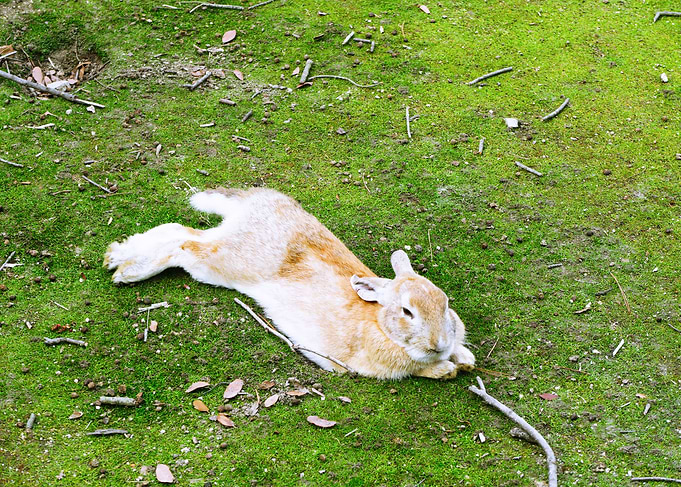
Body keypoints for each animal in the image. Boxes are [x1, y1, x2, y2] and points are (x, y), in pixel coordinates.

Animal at [104, 187, 475, 379]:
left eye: (445, 304)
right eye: (407, 312)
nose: (439, 343)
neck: (380, 323)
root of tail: (253, 204)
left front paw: (464, 358)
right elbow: (432, 370)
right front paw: (448, 367)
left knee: (178, 231)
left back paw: (116, 256)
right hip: (223, 263)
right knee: (183, 244)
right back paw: (128, 270)